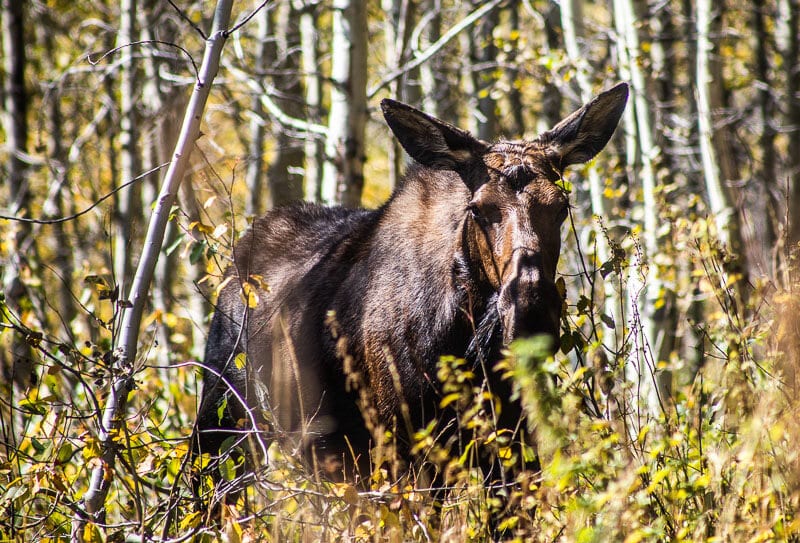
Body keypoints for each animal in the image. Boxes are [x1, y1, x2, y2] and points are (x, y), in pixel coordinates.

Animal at [194, 84, 624, 502]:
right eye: (478, 208)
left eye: (562, 205)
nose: (531, 309)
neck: (462, 338)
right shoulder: (401, 447)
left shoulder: (513, 446)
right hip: (223, 420)